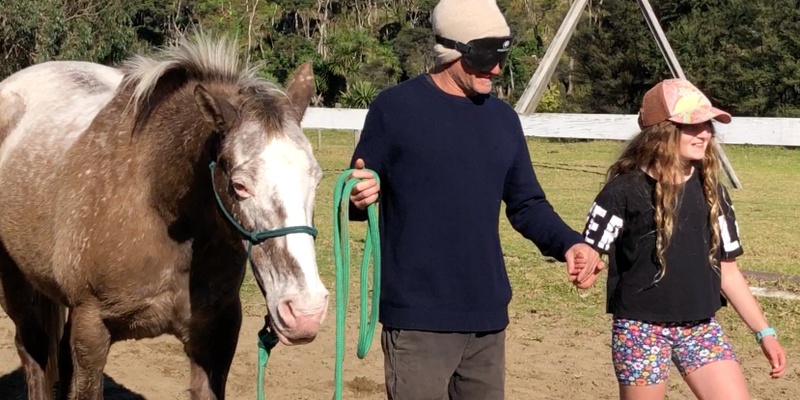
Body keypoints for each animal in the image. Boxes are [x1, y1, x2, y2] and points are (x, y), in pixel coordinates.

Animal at [0, 32, 328, 400]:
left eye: (316, 177)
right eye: (239, 185)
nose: (305, 311)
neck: (152, 201)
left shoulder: (217, 333)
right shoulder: (91, 328)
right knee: (33, 352)